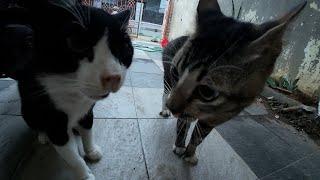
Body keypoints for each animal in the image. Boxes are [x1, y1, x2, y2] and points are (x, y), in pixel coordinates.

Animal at [1, 1, 134, 179]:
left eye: (122, 48)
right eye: (77, 42)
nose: (113, 77)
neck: (73, 93)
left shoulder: (87, 110)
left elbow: (88, 129)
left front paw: (91, 150)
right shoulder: (54, 121)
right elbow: (72, 156)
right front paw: (86, 174)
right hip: (28, 110)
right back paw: (42, 135)